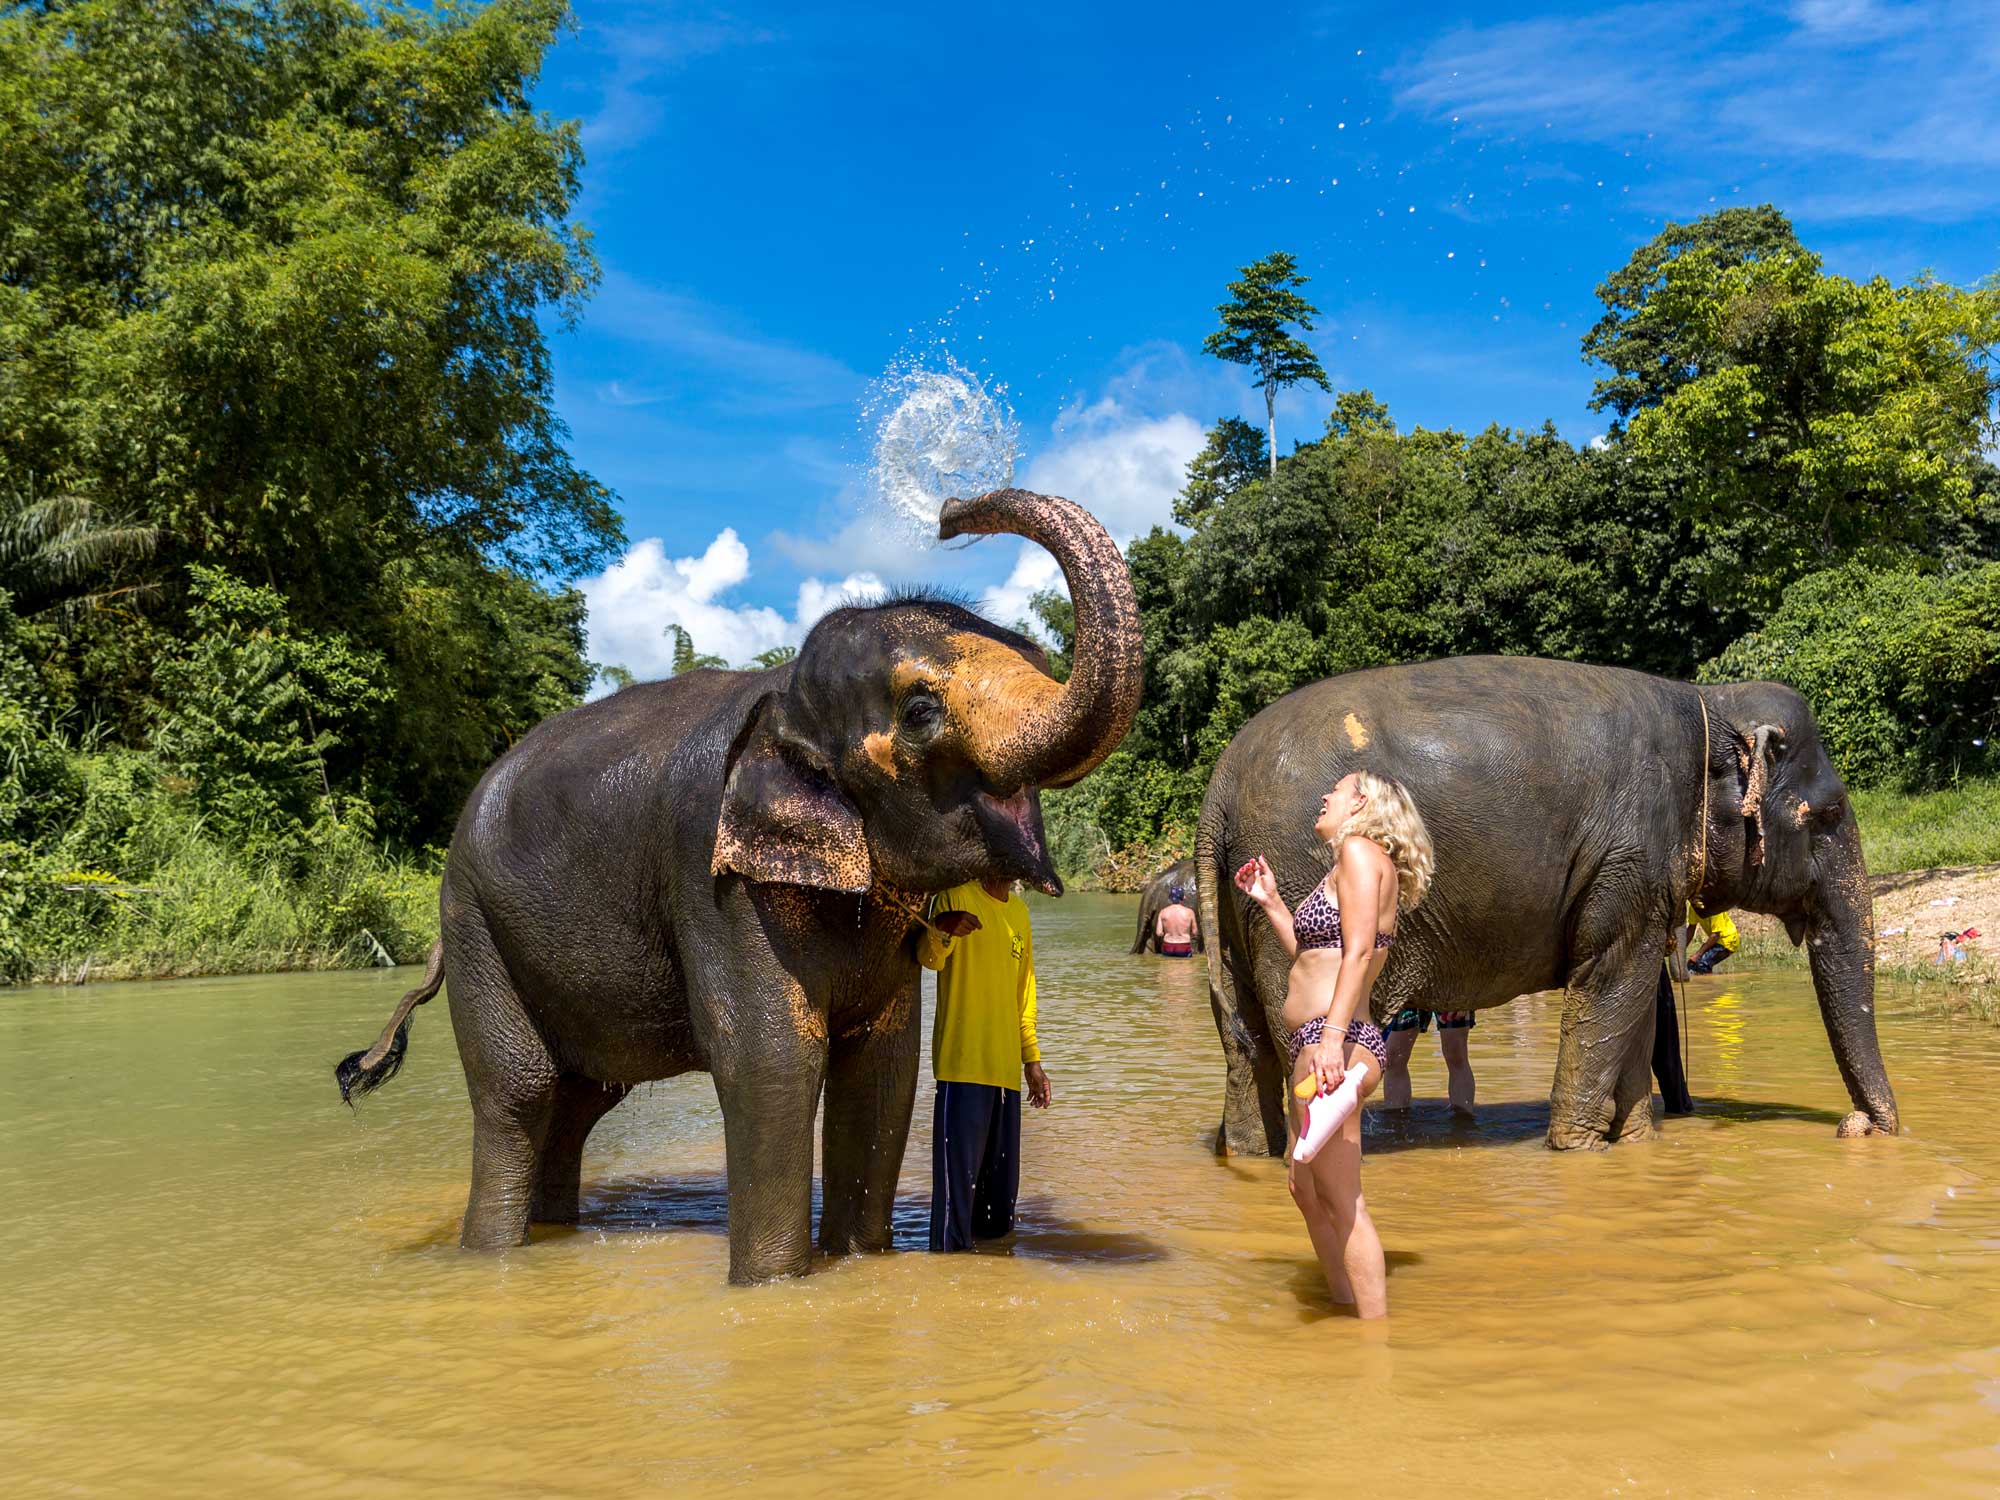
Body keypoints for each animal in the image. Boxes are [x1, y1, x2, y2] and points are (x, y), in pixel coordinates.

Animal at [332, 488, 1143, 1283]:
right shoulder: (714, 879)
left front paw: (860, 1262)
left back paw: (554, 1231)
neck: (781, 697)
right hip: (473, 921)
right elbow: (772, 1061)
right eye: (920, 712)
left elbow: (881, 1069)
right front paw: (774, 1286)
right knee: (520, 1092)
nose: (947, 515)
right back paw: (491, 1254)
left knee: (578, 1102)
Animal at [1195, 656, 1897, 1156]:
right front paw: (1580, 1149)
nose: (1857, 1126)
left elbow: (1634, 999)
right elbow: (1611, 982)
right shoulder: (1628, 854)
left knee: (1245, 1043)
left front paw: (1635, 1142)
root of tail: (1218, 788)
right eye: (1827, 814)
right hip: (1298, 867)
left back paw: (1250, 1155)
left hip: (1234, 908)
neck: (1709, 701)